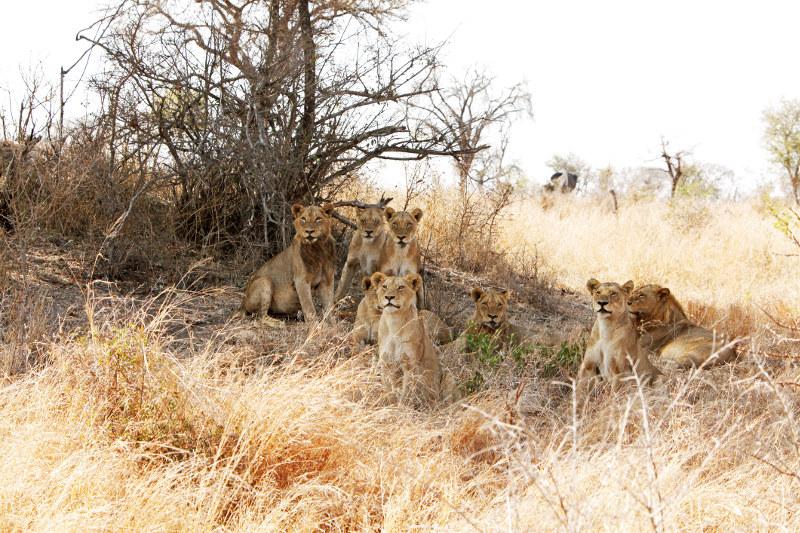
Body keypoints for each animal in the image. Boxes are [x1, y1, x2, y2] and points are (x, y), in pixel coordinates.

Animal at [371, 272, 457, 406]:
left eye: (401, 287)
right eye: (384, 286)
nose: (389, 297)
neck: (394, 322)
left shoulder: (410, 365)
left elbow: (406, 393)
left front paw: (401, 408)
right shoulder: (386, 363)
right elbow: (389, 390)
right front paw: (389, 405)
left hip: (448, 375)